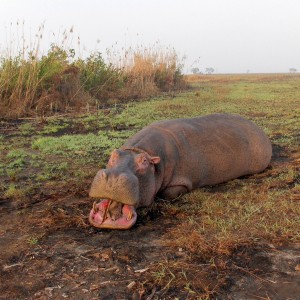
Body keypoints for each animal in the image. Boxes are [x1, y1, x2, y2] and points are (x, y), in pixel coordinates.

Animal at [88, 113, 272, 230]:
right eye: (113, 155)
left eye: (145, 162)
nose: (113, 177)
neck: (140, 151)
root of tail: (258, 127)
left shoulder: (181, 182)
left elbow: (168, 193)